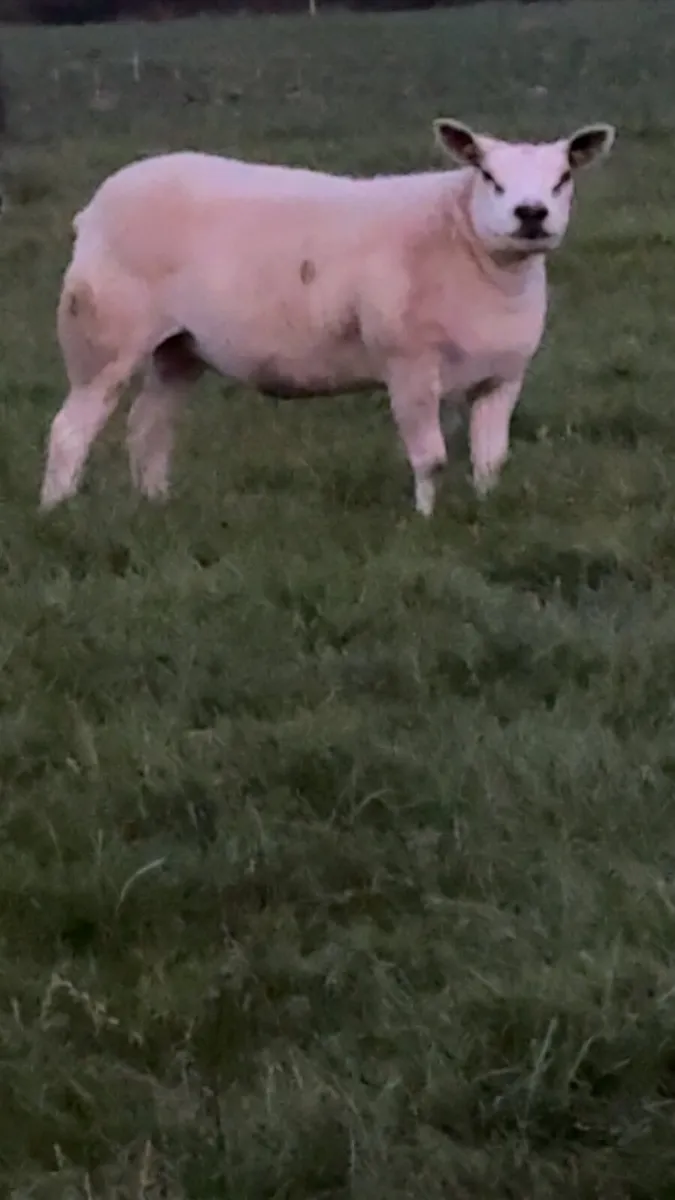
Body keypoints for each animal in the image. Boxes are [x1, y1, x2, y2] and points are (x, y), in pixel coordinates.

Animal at [39, 117, 616, 517]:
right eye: (489, 176)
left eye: (563, 177)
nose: (531, 213)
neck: (470, 246)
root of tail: (95, 207)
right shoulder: (409, 367)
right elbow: (430, 458)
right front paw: (426, 522)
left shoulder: (503, 376)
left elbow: (491, 460)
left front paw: (485, 511)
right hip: (104, 332)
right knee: (70, 429)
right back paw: (57, 512)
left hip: (179, 347)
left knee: (149, 427)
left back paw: (156, 505)